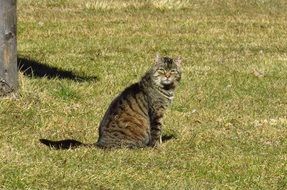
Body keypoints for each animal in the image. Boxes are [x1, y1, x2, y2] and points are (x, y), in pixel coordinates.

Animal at [40, 54, 182, 149]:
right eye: (162, 70)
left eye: (173, 71)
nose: (167, 76)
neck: (166, 89)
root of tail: (100, 142)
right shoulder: (157, 112)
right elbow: (157, 131)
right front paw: (157, 147)